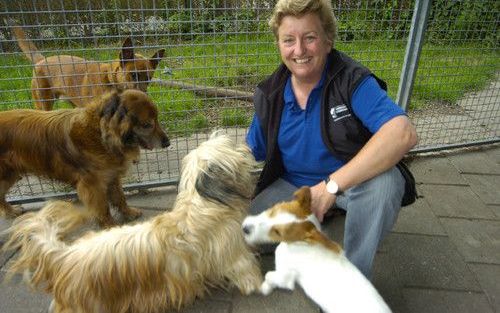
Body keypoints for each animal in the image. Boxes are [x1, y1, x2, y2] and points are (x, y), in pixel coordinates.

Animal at [0, 89, 170, 225]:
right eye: (147, 124)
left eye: (157, 119)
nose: (167, 143)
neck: (98, 133)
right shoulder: (92, 185)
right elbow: (103, 208)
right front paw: (110, 226)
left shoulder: (111, 175)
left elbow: (119, 197)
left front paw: (128, 212)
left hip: (11, 174)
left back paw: (11, 211)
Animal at [0, 132, 262, 312]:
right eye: (231, 146)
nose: (246, 144)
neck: (204, 204)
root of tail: (62, 256)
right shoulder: (234, 255)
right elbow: (246, 272)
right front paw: (258, 283)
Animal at [11, 25, 165, 111]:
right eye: (133, 75)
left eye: (149, 78)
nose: (145, 98)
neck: (110, 81)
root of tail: (42, 60)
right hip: (44, 104)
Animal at [241, 186, 390, 310]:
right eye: (273, 210)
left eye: (278, 232)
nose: (245, 229)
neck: (299, 245)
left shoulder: (286, 277)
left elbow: (269, 276)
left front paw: (264, 287)